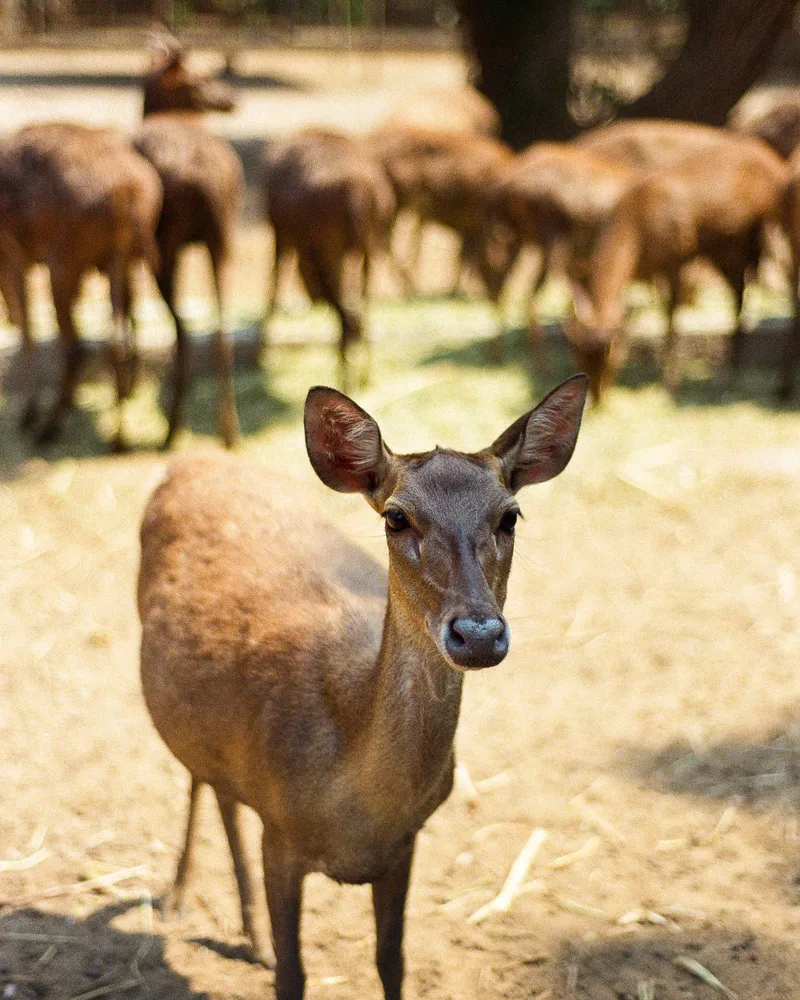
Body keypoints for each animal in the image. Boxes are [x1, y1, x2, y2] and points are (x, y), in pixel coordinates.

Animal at [0, 121, 162, 449]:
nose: (5, 316)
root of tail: (128, 190)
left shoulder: (14, 256)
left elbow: (28, 330)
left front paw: (29, 411)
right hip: (123, 260)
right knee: (119, 338)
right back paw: (119, 434)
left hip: (64, 266)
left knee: (76, 347)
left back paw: (47, 429)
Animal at [135, 40, 242, 448]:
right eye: (199, 77)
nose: (232, 98)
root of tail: (205, 179)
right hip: (223, 238)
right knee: (221, 329)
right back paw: (228, 432)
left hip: (165, 246)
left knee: (181, 327)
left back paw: (172, 429)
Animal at [138, 374, 589, 1000]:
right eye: (396, 517)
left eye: (511, 515)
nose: (478, 633)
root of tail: (192, 460)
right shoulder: (279, 834)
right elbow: (294, 976)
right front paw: (269, 953)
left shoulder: (405, 845)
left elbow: (391, 960)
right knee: (198, 780)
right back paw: (181, 901)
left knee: (221, 788)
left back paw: (248, 935)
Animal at [261, 128, 397, 391]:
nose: (314, 298)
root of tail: (358, 189)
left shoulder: (282, 235)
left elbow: (273, 286)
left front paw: (263, 350)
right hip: (368, 246)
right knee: (362, 310)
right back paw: (362, 374)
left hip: (333, 249)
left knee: (349, 314)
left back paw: (345, 377)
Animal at [566, 135, 787, 402]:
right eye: (576, 353)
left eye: (612, 353)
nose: (596, 397)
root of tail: (776, 162)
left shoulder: (676, 259)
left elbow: (671, 318)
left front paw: (669, 384)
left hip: (738, 243)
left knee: (741, 294)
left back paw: (724, 377)